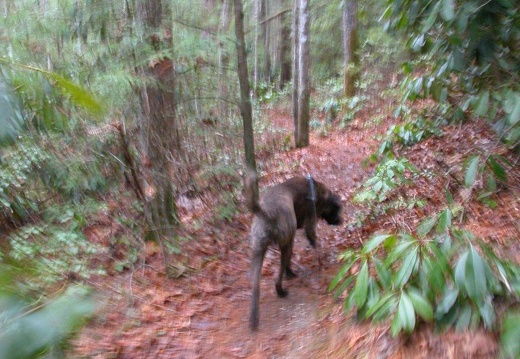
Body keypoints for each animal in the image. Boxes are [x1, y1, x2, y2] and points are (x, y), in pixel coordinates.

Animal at [246, 173, 344, 330]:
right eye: (339, 209)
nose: (341, 221)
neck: (317, 191)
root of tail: (269, 214)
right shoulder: (310, 224)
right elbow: (316, 243)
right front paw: (323, 258)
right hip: (288, 241)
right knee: (280, 273)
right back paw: (282, 289)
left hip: (258, 250)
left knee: (256, 287)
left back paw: (254, 319)